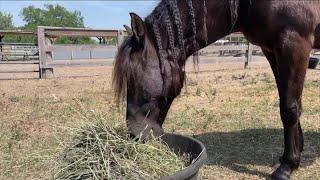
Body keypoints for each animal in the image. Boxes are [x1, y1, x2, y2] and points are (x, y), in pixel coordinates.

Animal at [113, 1, 320, 179]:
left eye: (131, 76)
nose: (133, 135)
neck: (246, 4)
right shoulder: (271, 50)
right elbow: (291, 101)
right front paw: (295, 152)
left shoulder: (293, 44)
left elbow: (289, 108)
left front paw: (287, 166)